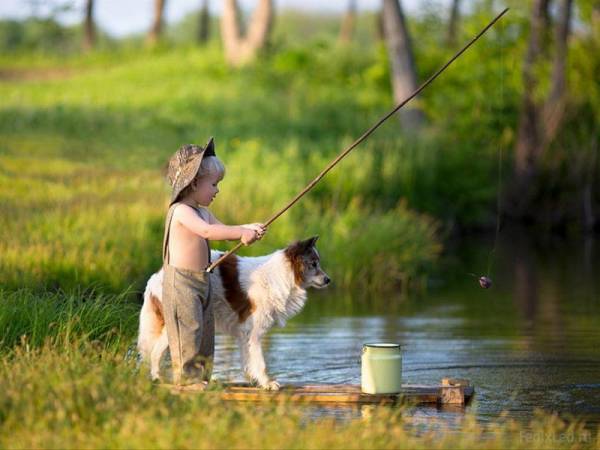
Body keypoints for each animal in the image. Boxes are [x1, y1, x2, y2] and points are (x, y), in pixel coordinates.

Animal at [138, 237, 330, 388]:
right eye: (313, 264)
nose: (328, 280)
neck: (283, 275)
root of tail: (155, 277)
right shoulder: (254, 332)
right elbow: (260, 362)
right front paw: (267, 383)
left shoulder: (245, 333)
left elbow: (248, 359)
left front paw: (254, 380)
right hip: (175, 323)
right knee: (156, 353)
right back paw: (159, 378)